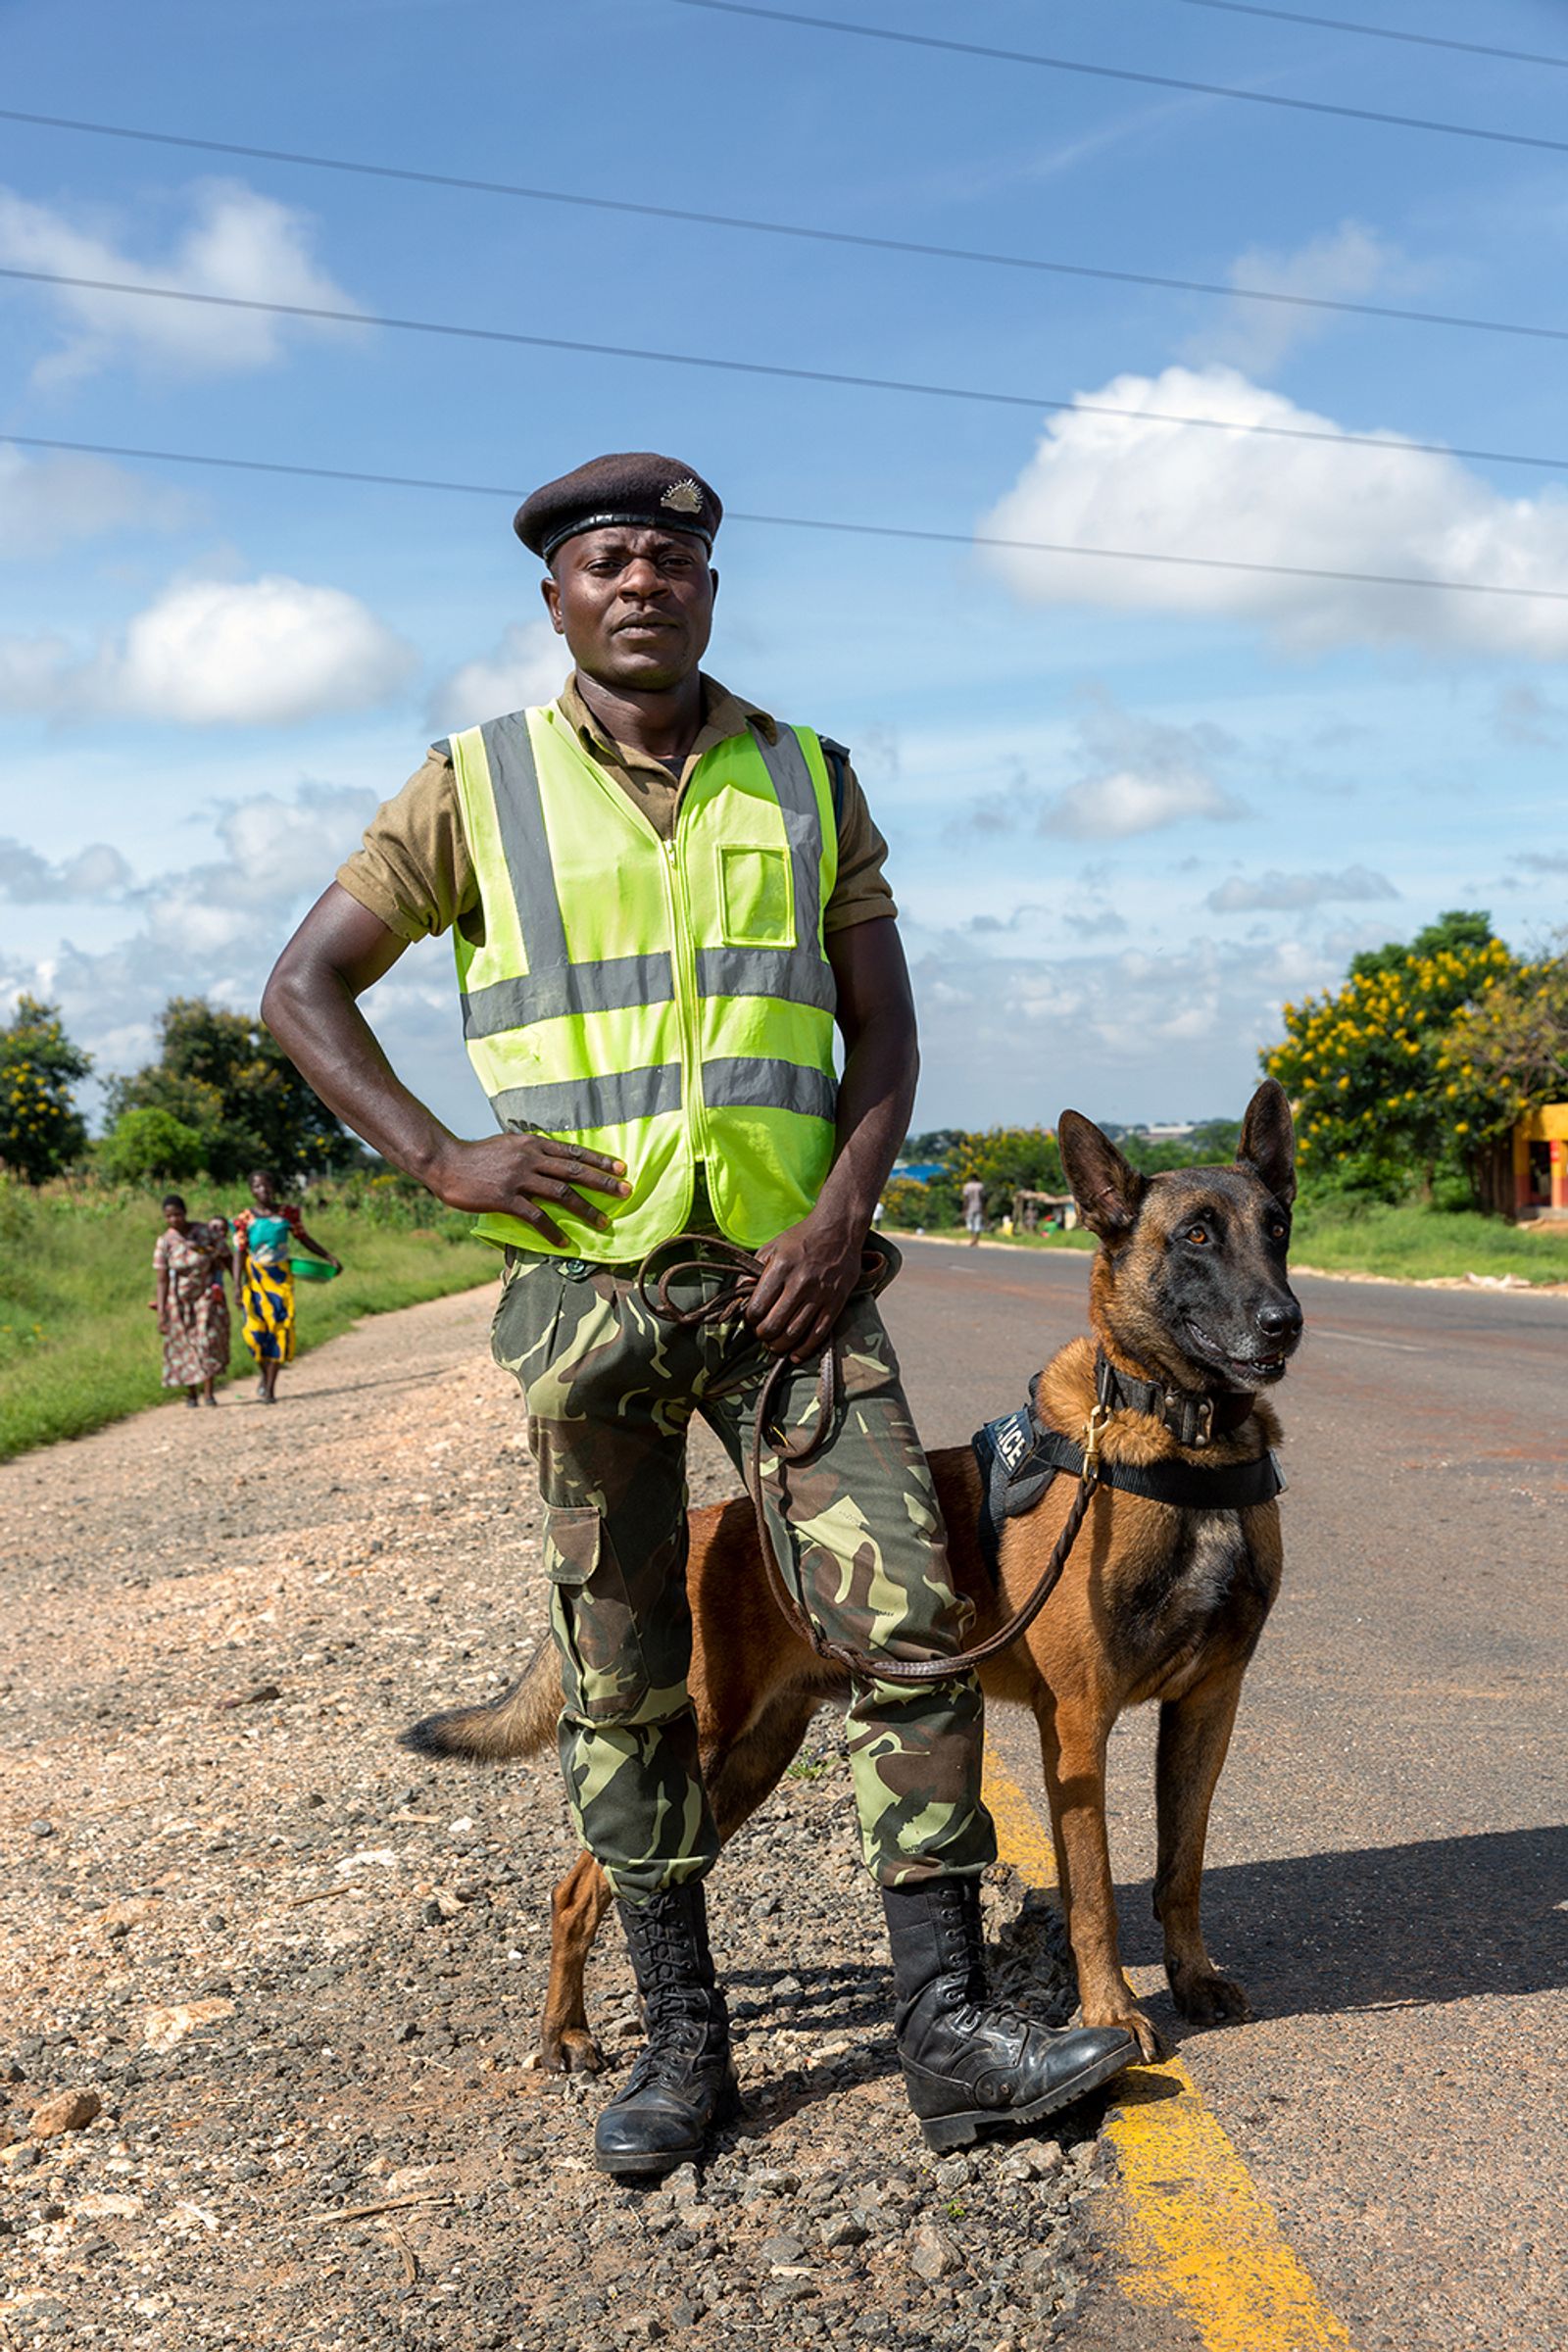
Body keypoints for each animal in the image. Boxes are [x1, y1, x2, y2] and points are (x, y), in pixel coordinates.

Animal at [409, 1077, 1298, 2070]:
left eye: (1278, 1226)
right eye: (1196, 1236)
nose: (1285, 1320)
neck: (1187, 1440)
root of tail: (700, 1526)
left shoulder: (1208, 1706)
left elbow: (1181, 1866)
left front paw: (1192, 1977)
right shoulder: (1078, 1723)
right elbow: (1095, 1891)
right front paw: (1112, 2012)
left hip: (746, 1763)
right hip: (691, 1747)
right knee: (581, 1887)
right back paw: (565, 2031)